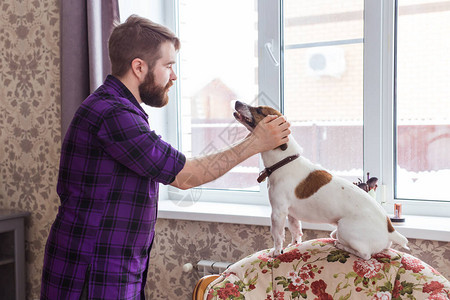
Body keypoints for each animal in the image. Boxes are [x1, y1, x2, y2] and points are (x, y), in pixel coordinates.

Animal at [234, 99, 410, 258]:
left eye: (259, 110)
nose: (236, 102)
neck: (284, 160)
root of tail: (390, 230)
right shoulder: (291, 214)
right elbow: (295, 231)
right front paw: (294, 245)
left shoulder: (277, 212)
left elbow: (277, 236)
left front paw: (277, 252)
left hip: (344, 228)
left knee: (364, 254)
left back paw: (341, 246)